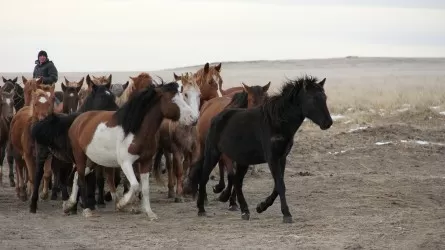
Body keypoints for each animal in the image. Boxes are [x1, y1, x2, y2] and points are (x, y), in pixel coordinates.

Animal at [153, 72, 201, 203]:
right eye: (185, 94)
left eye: (199, 94)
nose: (195, 119)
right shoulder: (176, 149)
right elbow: (178, 170)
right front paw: (179, 195)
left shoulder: (194, 149)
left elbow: (190, 168)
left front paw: (192, 193)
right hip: (167, 149)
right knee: (170, 166)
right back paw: (171, 191)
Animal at [186, 75, 332, 224]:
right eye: (312, 99)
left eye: (324, 97)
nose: (328, 123)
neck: (277, 122)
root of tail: (215, 117)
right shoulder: (272, 158)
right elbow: (280, 185)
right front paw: (286, 214)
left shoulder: (282, 158)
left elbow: (278, 185)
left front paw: (261, 207)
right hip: (213, 153)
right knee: (205, 177)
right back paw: (201, 208)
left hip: (242, 160)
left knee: (237, 182)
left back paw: (244, 211)